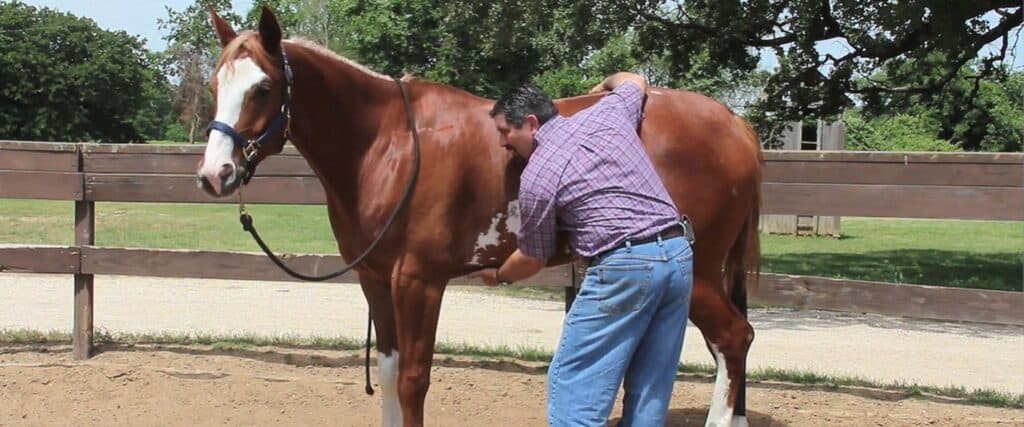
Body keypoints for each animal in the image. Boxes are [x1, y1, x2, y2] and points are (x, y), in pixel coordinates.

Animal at [197, 7, 761, 427]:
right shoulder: (375, 280)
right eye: (213, 86)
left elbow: (414, 380)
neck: (387, 144)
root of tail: (735, 124)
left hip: (697, 270)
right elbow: (389, 373)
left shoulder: (419, 281)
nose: (214, 174)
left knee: (734, 339)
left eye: (262, 89)